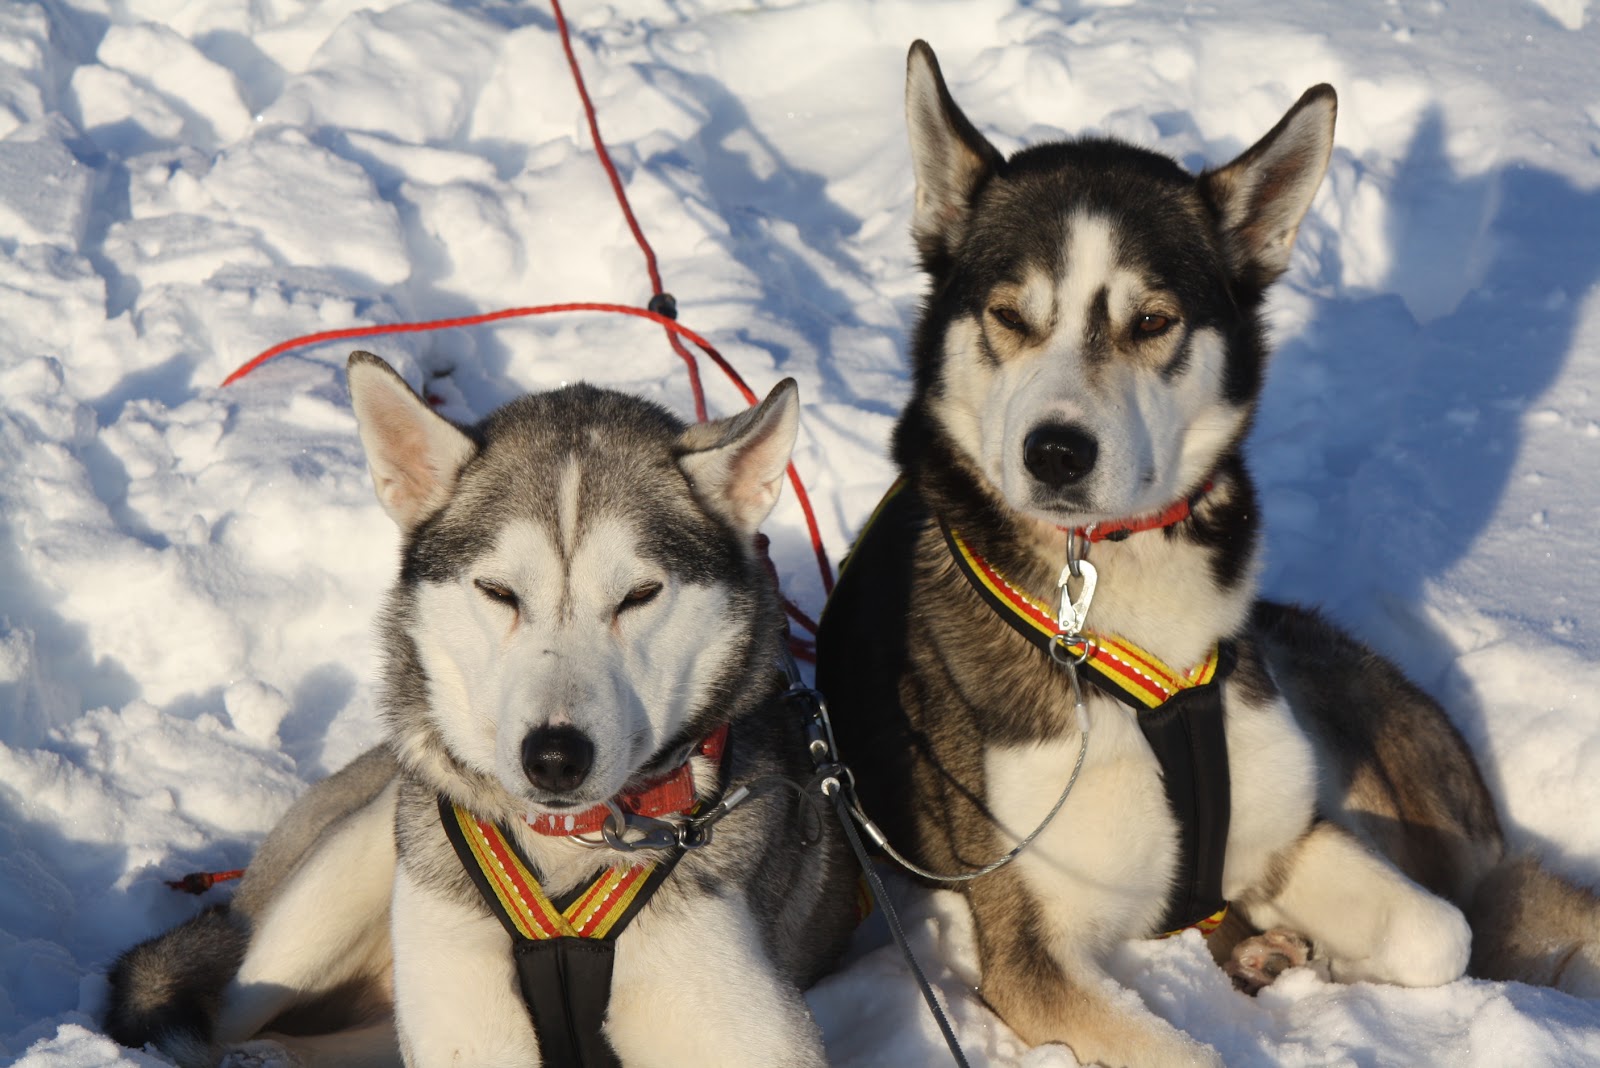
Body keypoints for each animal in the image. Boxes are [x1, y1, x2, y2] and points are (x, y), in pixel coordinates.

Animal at [106, 353, 858, 1067]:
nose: (554, 757)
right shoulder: (467, 1014)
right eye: (498, 591)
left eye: (640, 594)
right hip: (342, 882)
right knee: (215, 1016)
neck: (568, 847)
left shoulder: (745, 1029)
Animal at [816, 40, 1600, 1068]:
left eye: (1152, 321)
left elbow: (1439, 935)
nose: (1056, 452)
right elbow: (1183, 1048)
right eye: (1010, 316)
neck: (1115, 620)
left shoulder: (1286, 829)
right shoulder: (1030, 949)